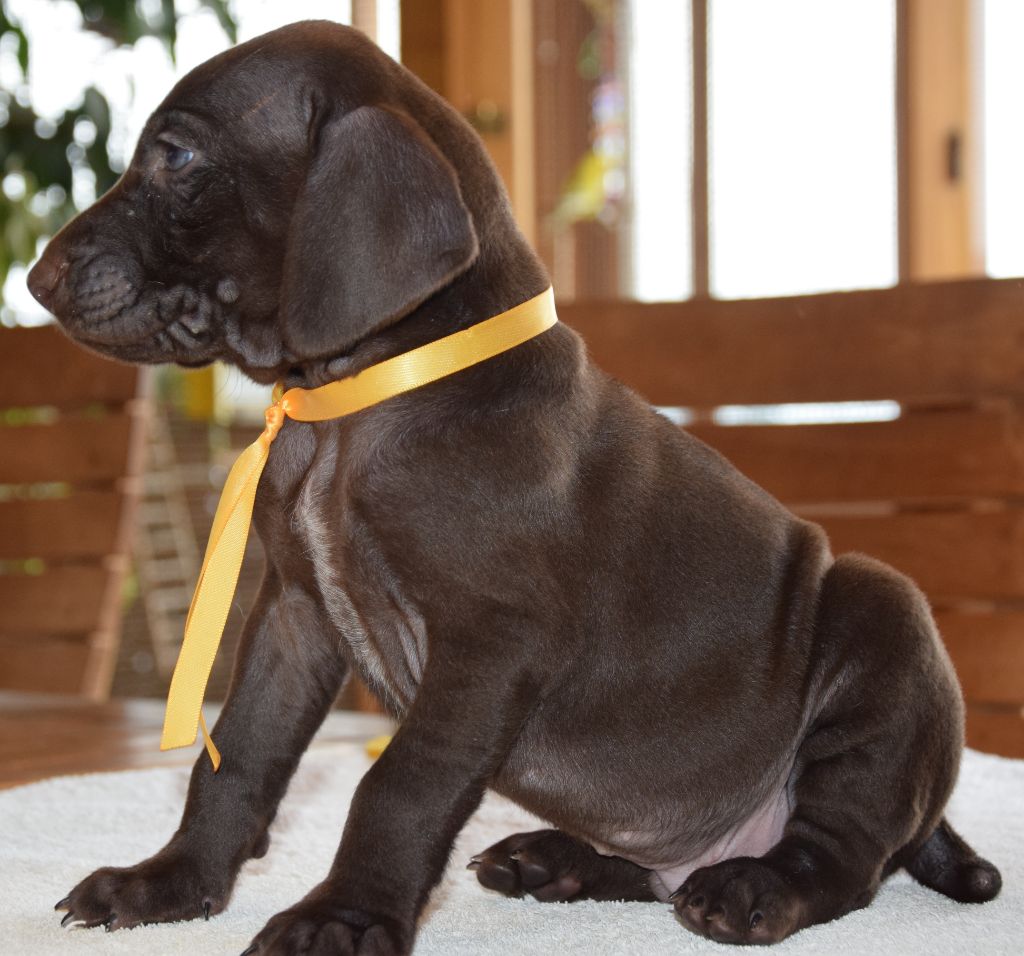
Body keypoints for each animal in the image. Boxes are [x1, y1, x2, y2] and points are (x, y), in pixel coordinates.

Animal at [28, 20, 1000, 953]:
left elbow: (400, 784)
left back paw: (752, 888)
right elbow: (237, 755)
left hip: (883, 619)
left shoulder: (492, 641)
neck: (358, 404)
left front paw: (343, 917)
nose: (35, 279)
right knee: (658, 874)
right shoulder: (296, 612)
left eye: (177, 157)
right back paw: (556, 861)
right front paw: (171, 885)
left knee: (842, 856)